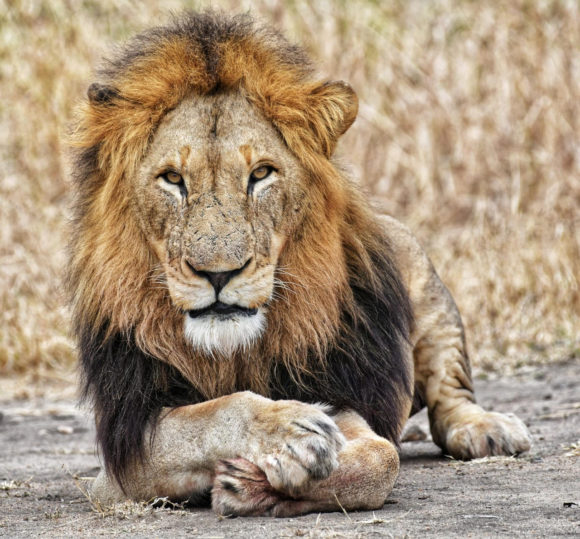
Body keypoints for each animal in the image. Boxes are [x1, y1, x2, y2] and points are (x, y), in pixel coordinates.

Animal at [68, 11, 532, 520]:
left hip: (426, 285)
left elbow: (380, 458)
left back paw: (488, 430)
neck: (232, 352)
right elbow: (219, 412)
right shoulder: (124, 452)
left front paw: (256, 485)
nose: (218, 274)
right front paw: (288, 431)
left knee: (451, 391)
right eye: (172, 179)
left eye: (261, 174)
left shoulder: (336, 389)